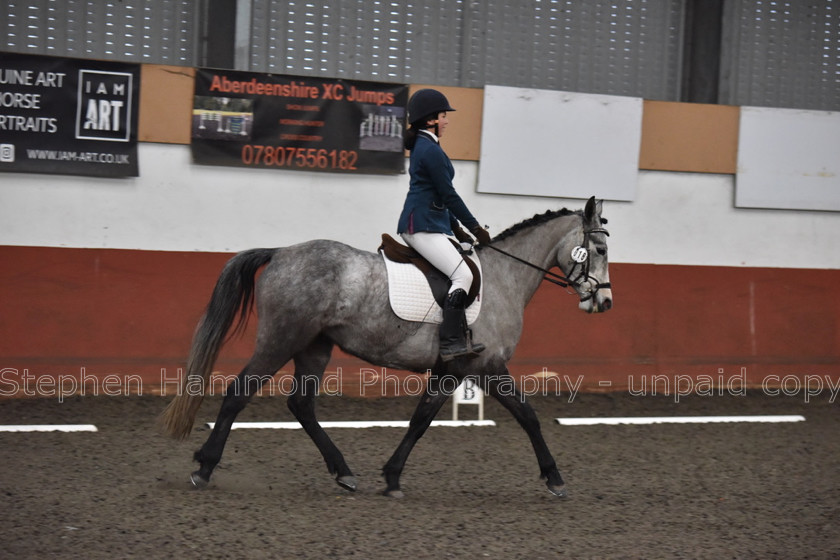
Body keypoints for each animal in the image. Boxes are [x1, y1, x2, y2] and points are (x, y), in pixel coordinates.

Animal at [162, 196, 612, 494]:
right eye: (601, 248)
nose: (604, 302)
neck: (505, 278)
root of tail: (282, 253)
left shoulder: (454, 371)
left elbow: (422, 420)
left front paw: (392, 475)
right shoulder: (482, 367)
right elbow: (527, 416)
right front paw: (554, 477)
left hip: (314, 346)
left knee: (301, 405)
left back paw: (343, 471)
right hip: (281, 339)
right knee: (239, 393)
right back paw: (204, 467)